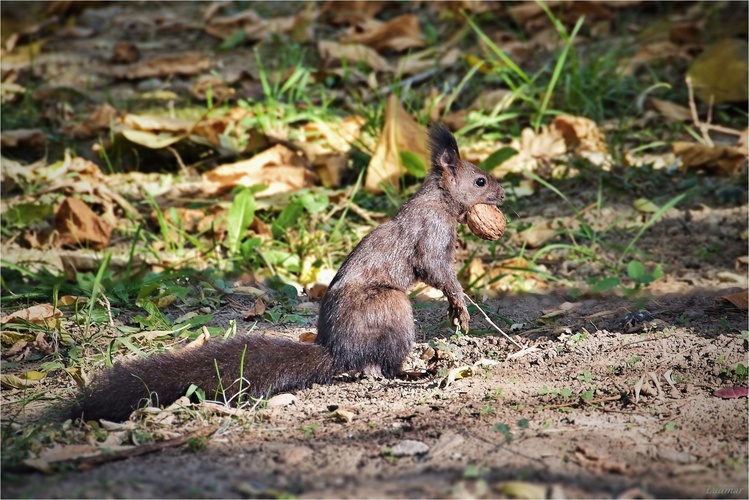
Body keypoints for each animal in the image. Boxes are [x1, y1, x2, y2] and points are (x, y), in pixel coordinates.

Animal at [67, 122, 506, 422]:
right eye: (480, 180)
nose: (502, 193)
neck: (440, 200)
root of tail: (336, 349)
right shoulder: (429, 235)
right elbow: (436, 271)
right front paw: (459, 304)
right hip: (391, 305)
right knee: (376, 365)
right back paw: (410, 372)